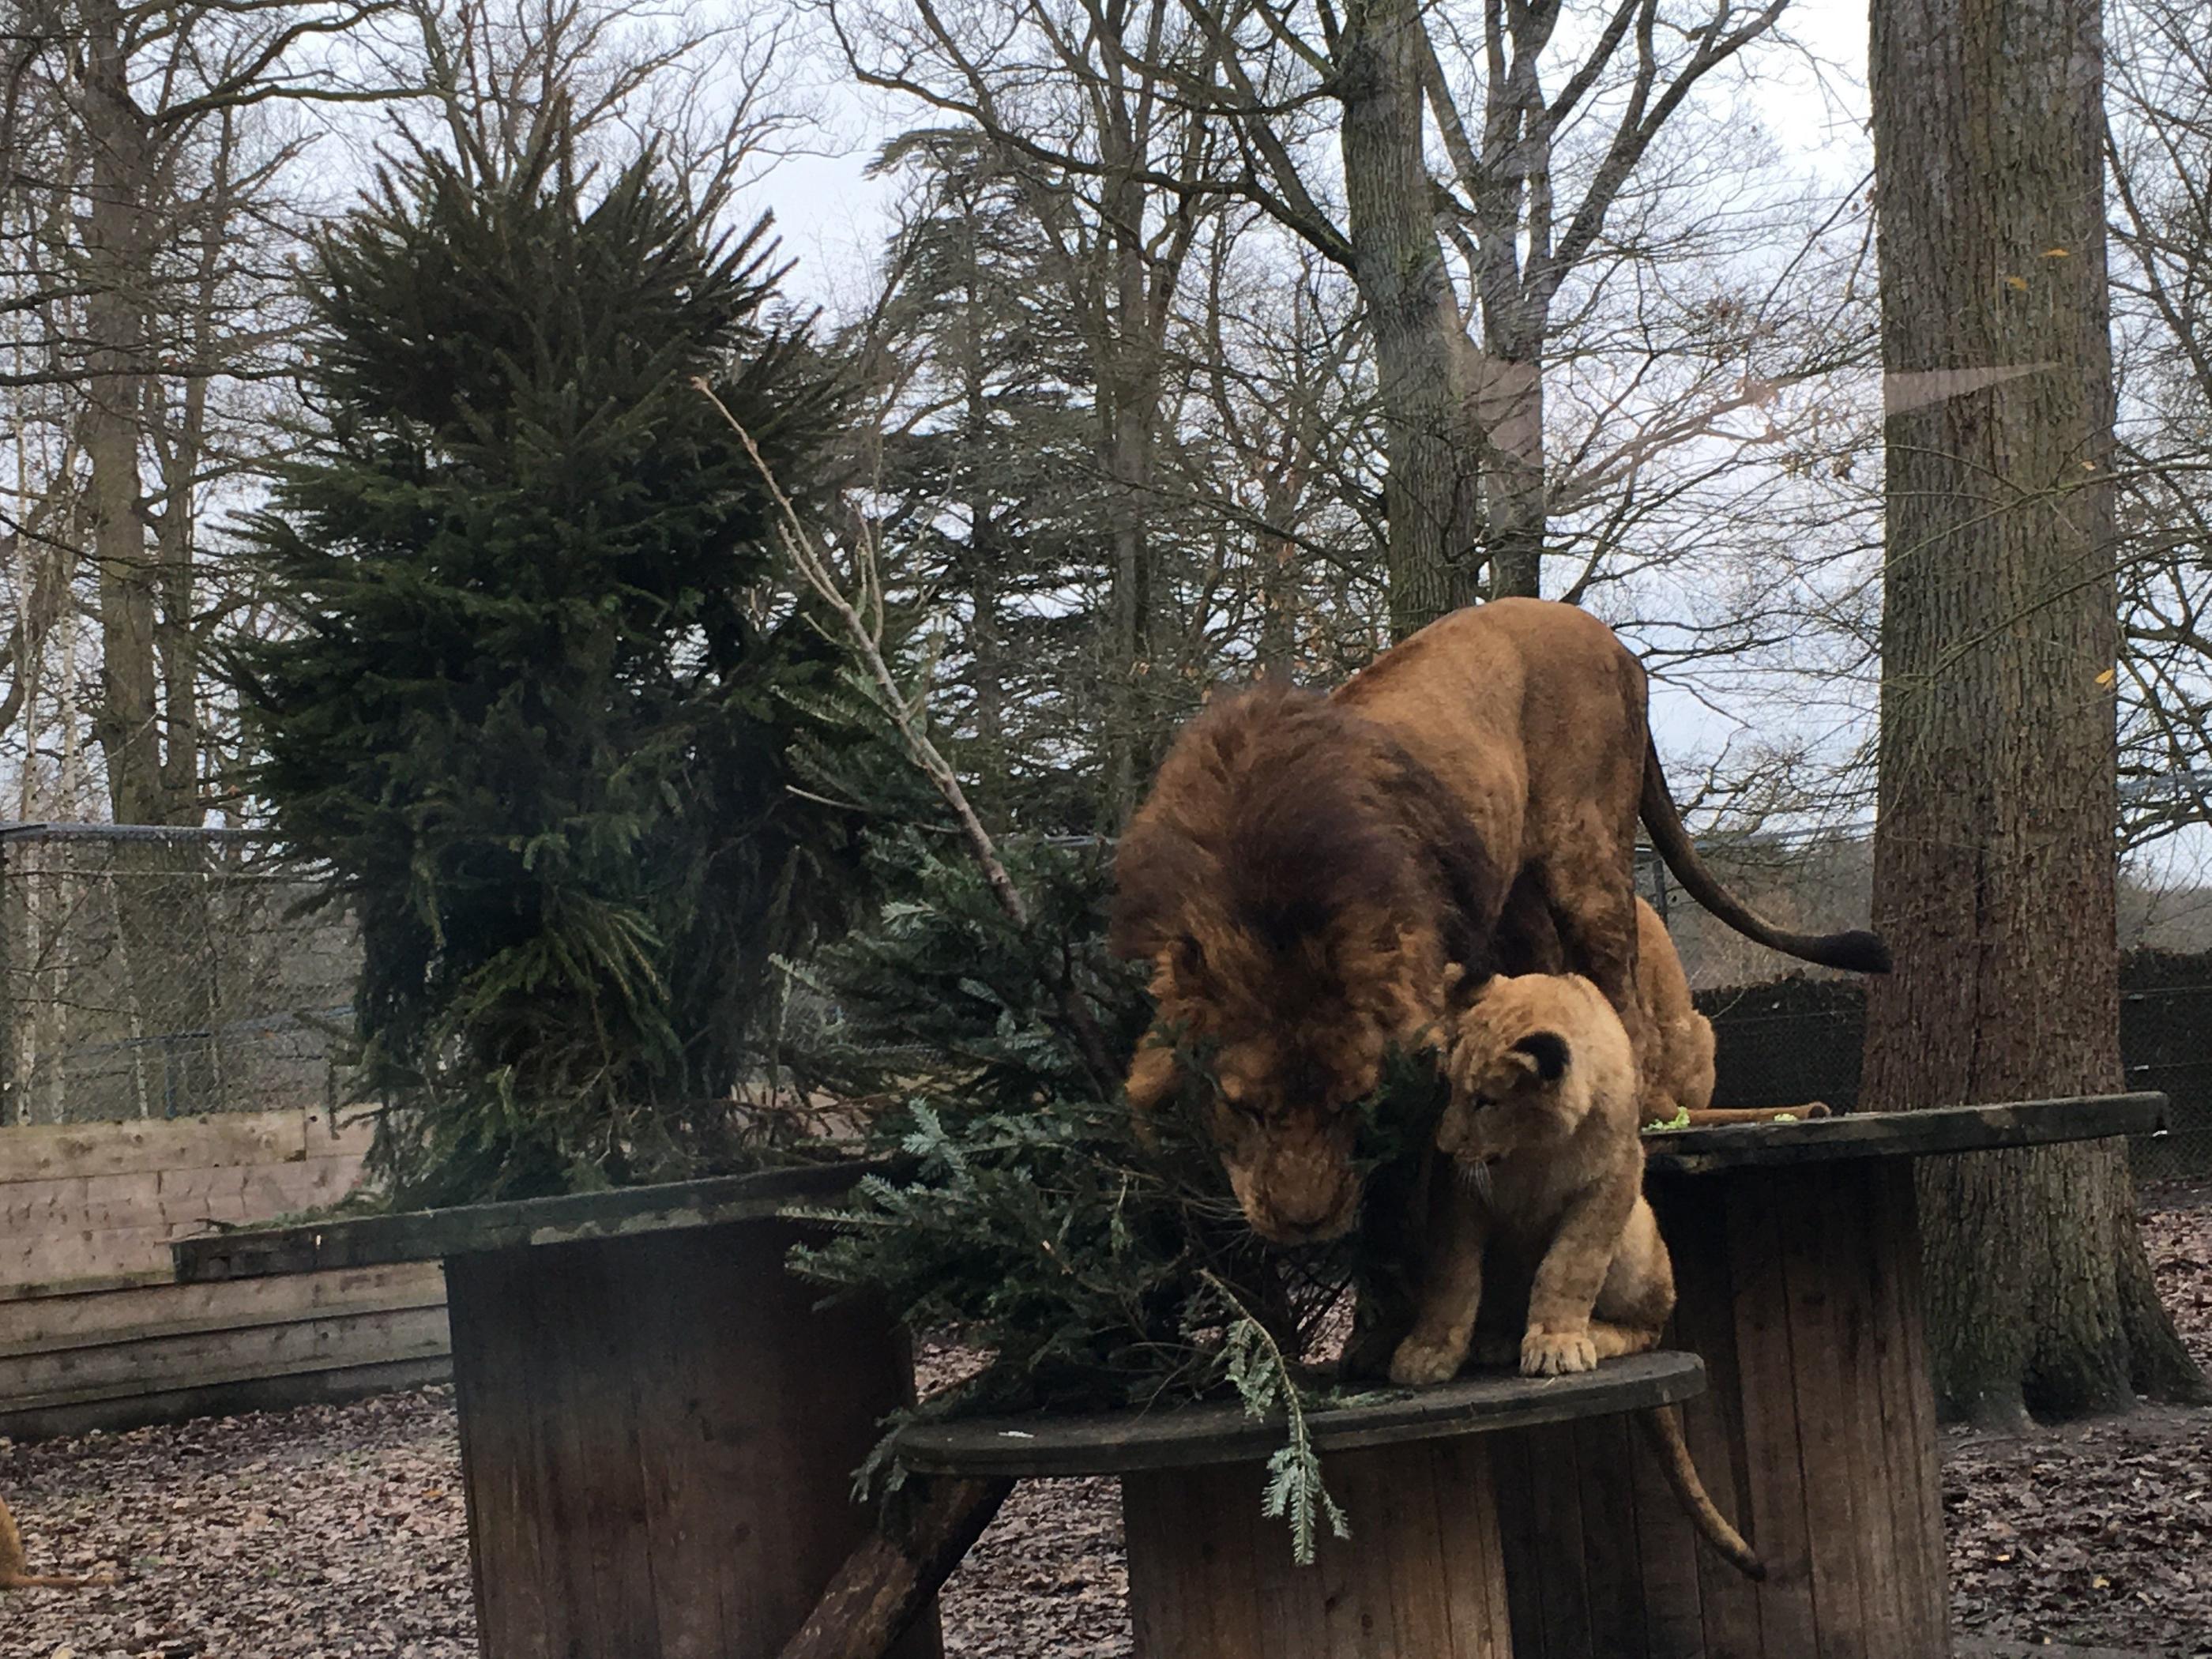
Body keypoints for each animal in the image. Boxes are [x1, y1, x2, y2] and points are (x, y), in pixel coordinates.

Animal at [1115, 601, 1875, 1247]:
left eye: (1353, 1104)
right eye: (1244, 1108)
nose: (1305, 1226)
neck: (1269, 897)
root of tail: (1615, 643)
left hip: (1586, 855)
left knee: (1628, 1011)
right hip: (1521, 900)